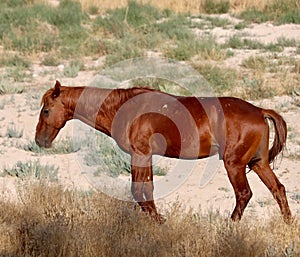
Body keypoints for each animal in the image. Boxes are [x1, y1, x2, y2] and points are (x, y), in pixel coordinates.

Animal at [34, 80, 290, 222]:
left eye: (46, 110)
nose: (39, 140)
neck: (124, 108)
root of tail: (259, 111)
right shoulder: (143, 156)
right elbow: (145, 191)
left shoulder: (140, 154)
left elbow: (141, 192)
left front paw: (159, 221)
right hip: (258, 163)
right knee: (278, 189)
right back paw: (287, 223)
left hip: (234, 164)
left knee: (244, 194)